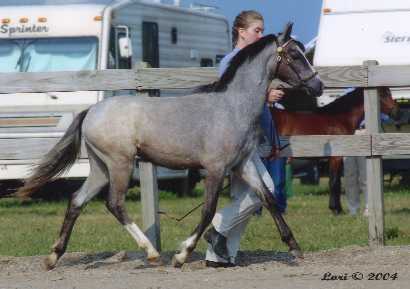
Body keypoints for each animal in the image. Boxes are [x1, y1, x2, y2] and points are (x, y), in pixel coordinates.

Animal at [16, 23, 324, 268]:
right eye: (294, 55)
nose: (318, 86)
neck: (231, 107)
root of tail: (91, 111)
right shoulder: (215, 168)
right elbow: (208, 210)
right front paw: (182, 255)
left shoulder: (243, 165)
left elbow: (269, 199)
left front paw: (295, 248)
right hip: (120, 164)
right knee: (114, 203)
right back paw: (151, 252)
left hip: (100, 167)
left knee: (77, 201)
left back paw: (53, 257)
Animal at [272, 86, 400, 213]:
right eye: (382, 94)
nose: (396, 113)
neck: (339, 118)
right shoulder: (336, 157)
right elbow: (334, 181)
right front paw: (336, 209)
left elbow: (336, 181)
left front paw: (337, 208)